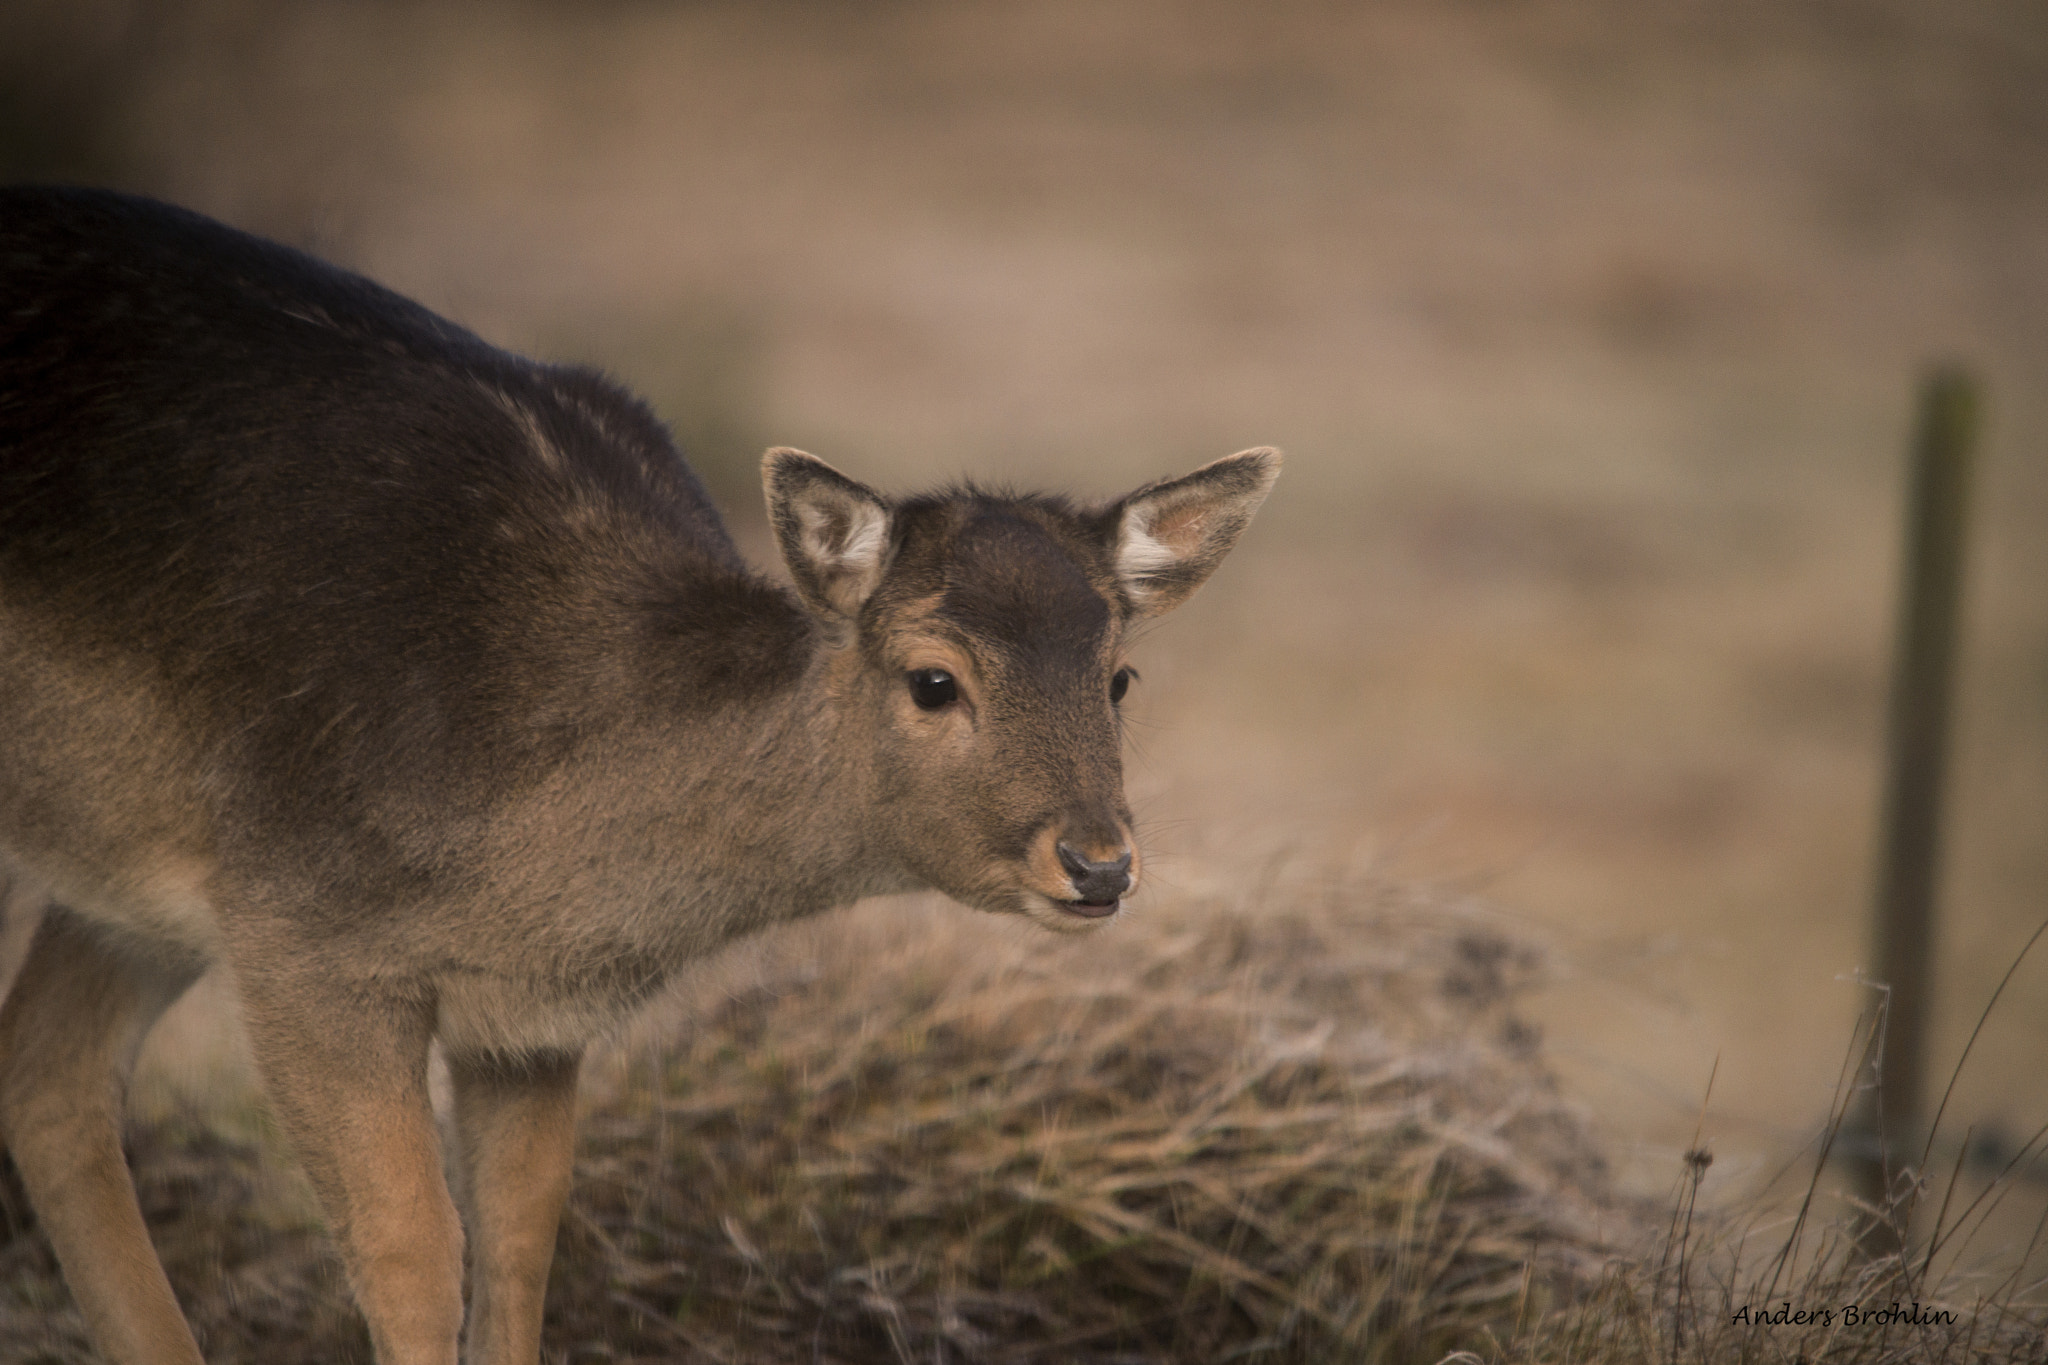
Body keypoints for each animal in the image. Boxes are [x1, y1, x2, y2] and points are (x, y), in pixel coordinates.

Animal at [0, 189, 1277, 1365]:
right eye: (931, 680)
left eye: (1118, 675)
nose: (1097, 864)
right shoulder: (299, 931)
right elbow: (411, 1253)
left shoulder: (525, 1022)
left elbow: (519, 1247)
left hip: (126, 892)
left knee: (47, 1073)